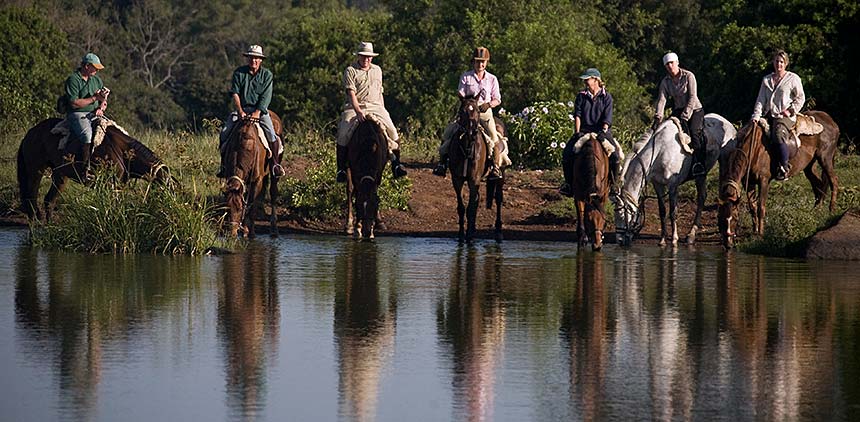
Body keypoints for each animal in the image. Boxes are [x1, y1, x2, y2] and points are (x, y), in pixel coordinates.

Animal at [17, 115, 171, 221]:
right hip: (36, 169)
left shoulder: (117, 186)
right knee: (31, 199)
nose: (168, 209)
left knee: (49, 200)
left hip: (60, 175)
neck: (121, 150)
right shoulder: (110, 184)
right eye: (167, 191)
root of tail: (30, 134)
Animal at [446, 94, 508, 242]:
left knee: (498, 198)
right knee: (477, 200)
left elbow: (470, 208)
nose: (471, 132)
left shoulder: (474, 179)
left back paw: (498, 231)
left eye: (478, 111)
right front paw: (462, 235)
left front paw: (469, 236)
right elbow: (462, 207)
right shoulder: (457, 179)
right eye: (462, 111)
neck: (468, 146)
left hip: (501, 174)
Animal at [616, 113, 736, 247]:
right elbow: (662, 211)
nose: (619, 240)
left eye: (622, 215)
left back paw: (694, 234)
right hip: (701, 175)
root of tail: (727, 123)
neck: (659, 152)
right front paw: (663, 239)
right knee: (702, 196)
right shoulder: (658, 185)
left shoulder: (673, 186)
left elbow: (673, 212)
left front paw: (674, 240)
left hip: (724, 162)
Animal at [716, 110, 836, 249]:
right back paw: (816, 210)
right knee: (819, 185)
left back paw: (831, 209)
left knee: (833, 181)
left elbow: (761, 207)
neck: (753, 149)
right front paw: (755, 231)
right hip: (810, 166)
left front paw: (760, 234)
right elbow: (752, 207)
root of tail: (831, 121)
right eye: (721, 219)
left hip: (825, 158)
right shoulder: (749, 182)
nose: (728, 245)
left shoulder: (763, 180)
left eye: (735, 218)